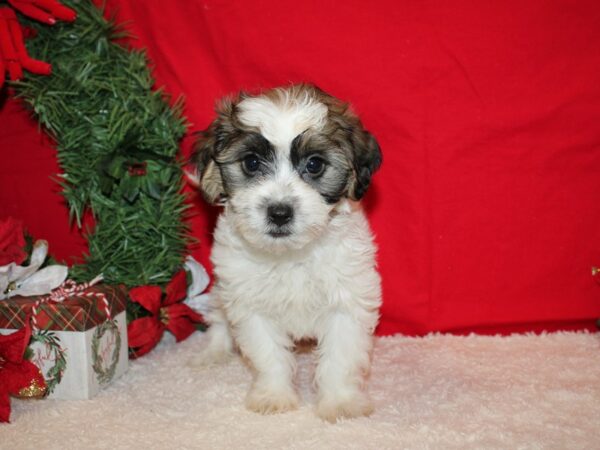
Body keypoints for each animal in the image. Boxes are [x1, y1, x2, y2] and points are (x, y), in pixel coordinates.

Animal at [190, 83, 382, 422]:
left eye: (315, 164)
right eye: (251, 163)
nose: (279, 212)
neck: (290, 254)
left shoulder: (348, 299)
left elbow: (340, 357)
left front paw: (340, 402)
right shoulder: (248, 301)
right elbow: (269, 354)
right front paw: (273, 396)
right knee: (218, 315)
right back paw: (212, 351)